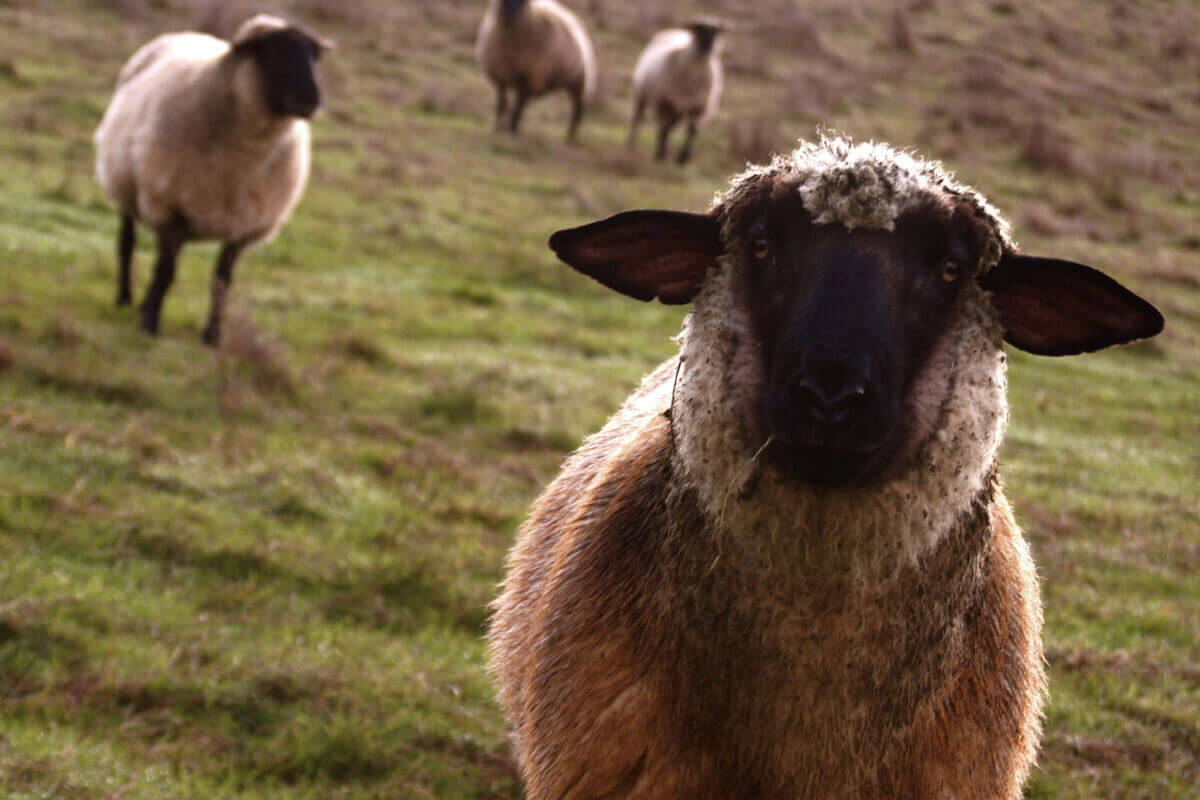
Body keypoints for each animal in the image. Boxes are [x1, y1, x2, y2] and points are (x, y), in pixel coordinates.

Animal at [92, 13, 333, 345]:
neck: (243, 159)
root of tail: (185, 33)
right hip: (126, 187)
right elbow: (165, 272)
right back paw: (125, 299)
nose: (312, 100)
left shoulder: (243, 224)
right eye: (275, 52)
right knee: (126, 244)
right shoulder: (170, 208)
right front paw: (150, 325)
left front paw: (212, 335)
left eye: (314, 56)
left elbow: (222, 281)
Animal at [472, 0, 595, 142]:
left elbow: (517, 108)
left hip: (577, 83)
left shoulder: (527, 79)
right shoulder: (500, 77)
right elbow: (502, 105)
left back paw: (570, 137)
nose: (510, 14)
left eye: (523, 2)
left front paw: (512, 132)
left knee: (577, 109)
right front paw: (498, 128)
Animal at [628, 21, 720, 164]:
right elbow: (664, 128)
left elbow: (692, 131)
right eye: (697, 30)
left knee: (670, 126)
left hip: (677, 109)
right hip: (641, 95)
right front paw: (660, 155)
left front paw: (683, 158)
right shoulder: (664, 102)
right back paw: (631, 145)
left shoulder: (698, 107)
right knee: (638, 119)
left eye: (715, 32)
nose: (708, 48)